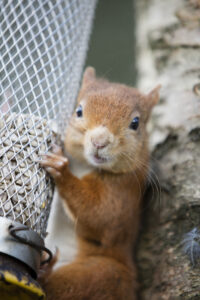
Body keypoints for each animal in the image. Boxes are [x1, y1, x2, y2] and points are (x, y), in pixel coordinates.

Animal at [39, 68, 160, 300]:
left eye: (135, 123)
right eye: (78, 111)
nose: (99, 142)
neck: (83, 165)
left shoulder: (123, 191)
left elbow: (100, 215)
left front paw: (61, 170)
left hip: (103, 274)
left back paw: (44, 273)